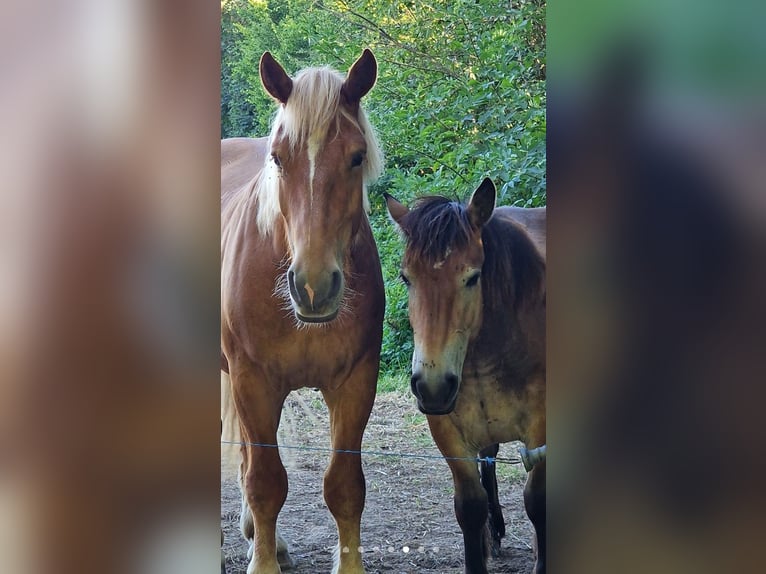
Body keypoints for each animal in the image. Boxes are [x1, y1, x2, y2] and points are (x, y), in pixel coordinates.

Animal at [222, 50, 388, 574]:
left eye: (356, 157)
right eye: (278, 157)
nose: (314, 287)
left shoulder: (356, 382)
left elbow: (345, 486)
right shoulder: (252, 382)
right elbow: (265, 481)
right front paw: (264, 562)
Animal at [390, 178, 544, 572]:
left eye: (472, 278)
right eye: (406, 277)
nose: (432, 387)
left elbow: (538, 501)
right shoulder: (449, 434)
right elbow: (470, 507)